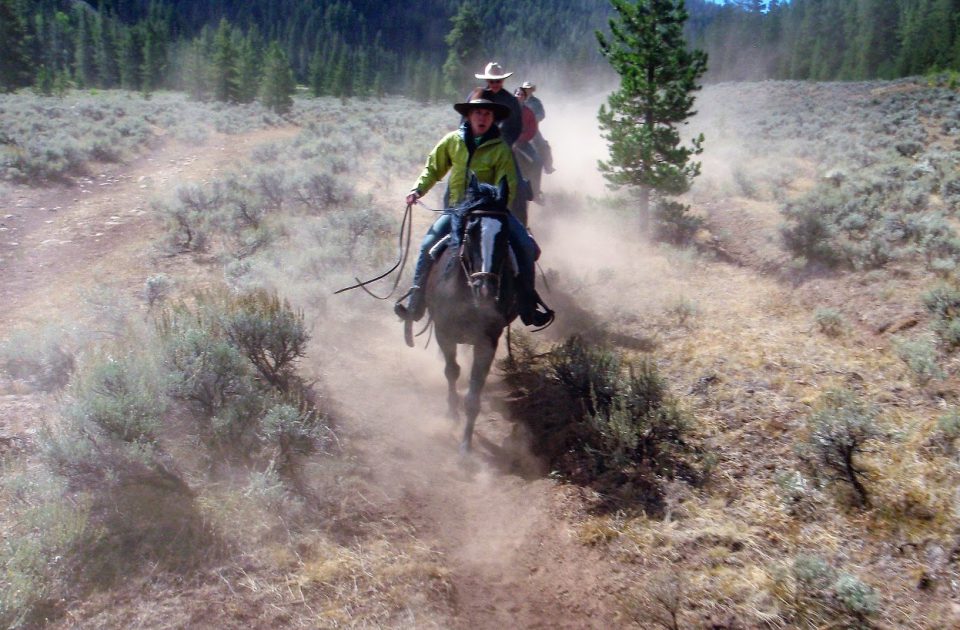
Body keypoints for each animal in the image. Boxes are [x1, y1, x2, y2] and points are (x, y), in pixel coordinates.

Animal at [416, 175, 516, 456]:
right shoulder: (444, 332)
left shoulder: (487, 341)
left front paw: (465, 446)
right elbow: (452, 371)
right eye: (470, 232)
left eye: (505, 235)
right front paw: (451, 413)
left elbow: (474, 392)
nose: (485, 289)